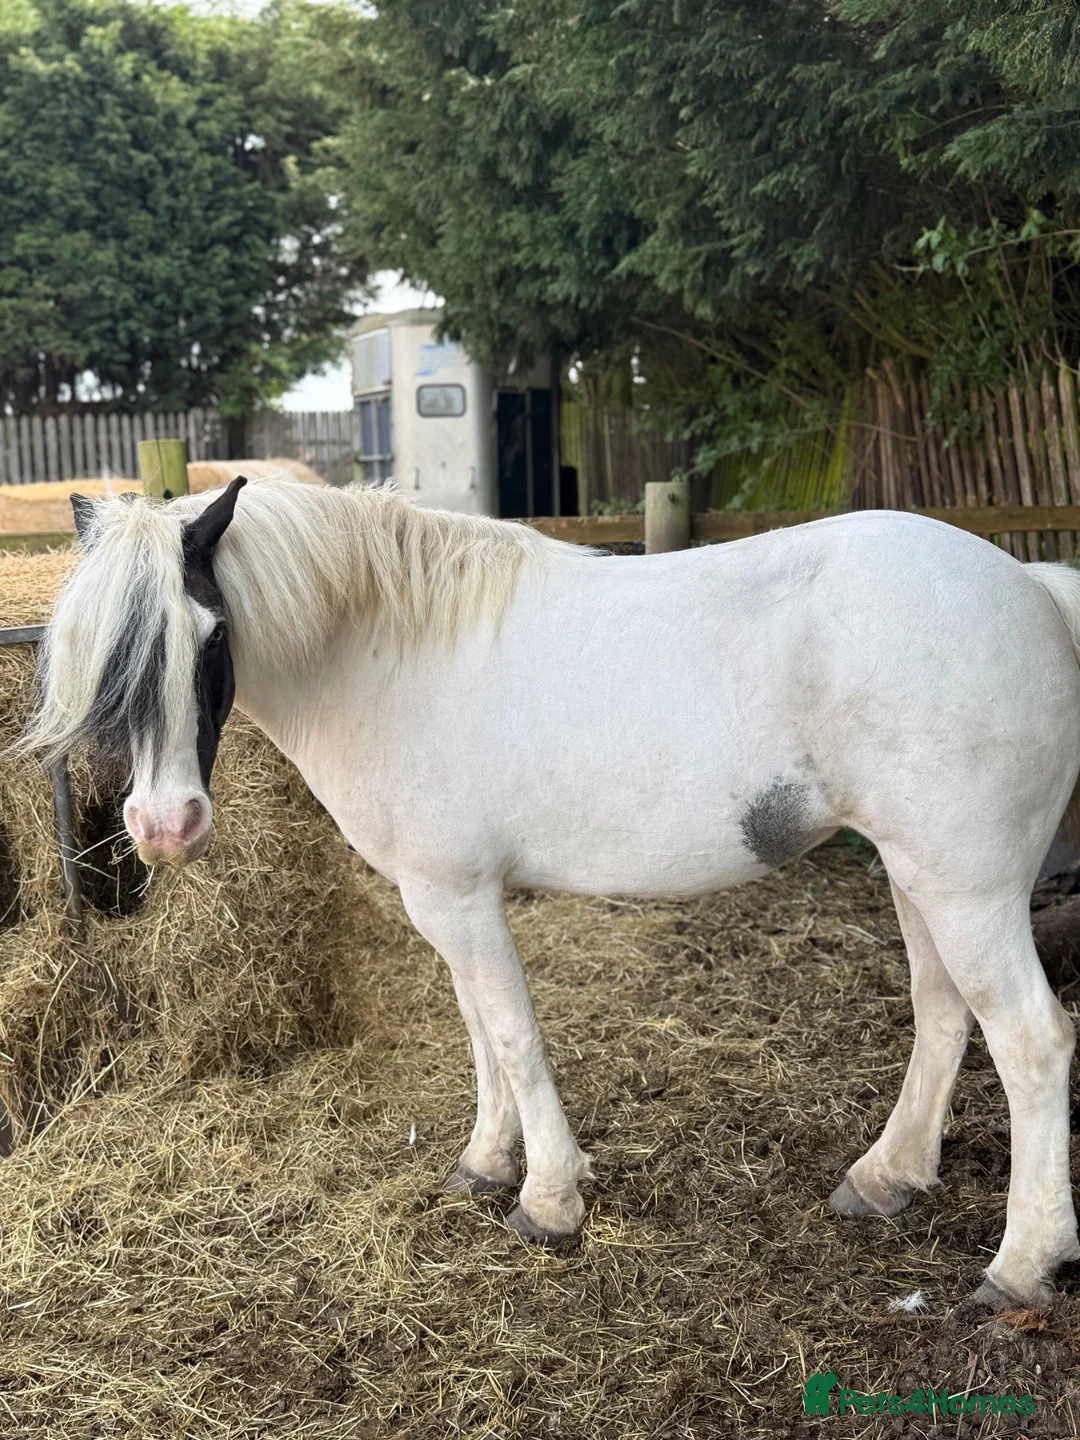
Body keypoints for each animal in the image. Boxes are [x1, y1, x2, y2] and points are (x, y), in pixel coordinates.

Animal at [23, 474, 1080, 1310]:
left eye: (209, 633)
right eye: (102, 655)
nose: (165, 827)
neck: (387, 651)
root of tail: (1031, 586)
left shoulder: (459, 898)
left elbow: (515, 1036)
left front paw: (549, 1200)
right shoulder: (445, 899)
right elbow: (480, 1032)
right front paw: (486, 1164)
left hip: (968, 889)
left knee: (1031, 1042)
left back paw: (1020, 1266)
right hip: (917, 876)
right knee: (942, 1013)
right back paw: (889, 1178)